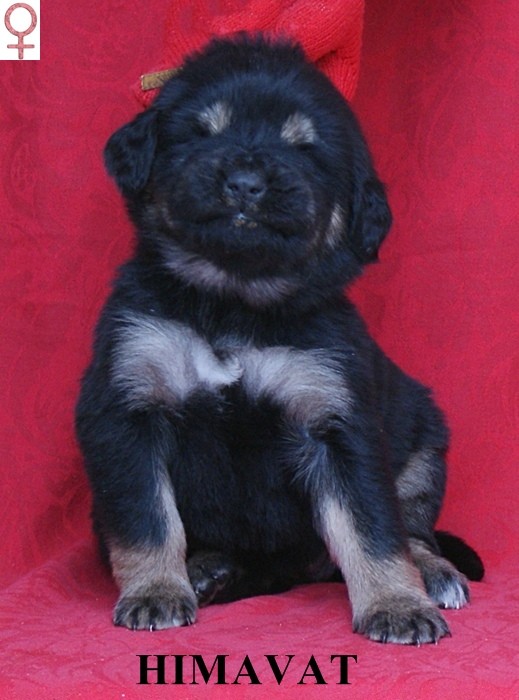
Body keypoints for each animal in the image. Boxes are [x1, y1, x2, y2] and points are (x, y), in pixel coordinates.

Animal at [76, 34, 483, 644]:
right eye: (204, 131)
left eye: (305, 150)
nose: (246, 184)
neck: (234, 302)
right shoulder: (129, 409)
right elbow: (148, 519)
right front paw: (156, 592)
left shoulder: (338, 426)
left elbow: (372, 529)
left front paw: (395, 604)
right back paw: (207, 568)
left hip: (424, 442)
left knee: (412, 530)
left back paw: (433, 574)